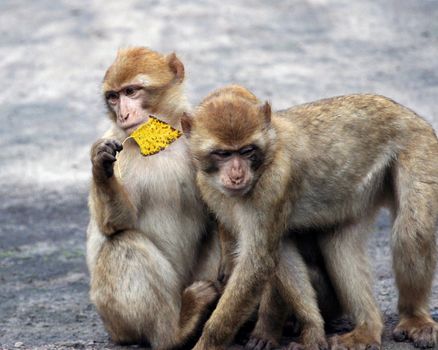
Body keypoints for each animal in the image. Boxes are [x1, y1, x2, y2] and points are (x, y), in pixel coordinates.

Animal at [86, 47, 222, 350]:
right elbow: (116, 224)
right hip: (117, 319)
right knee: (122, 243)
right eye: (113, 97)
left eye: (131, 91)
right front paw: (100, 166)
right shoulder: (120, 148)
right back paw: (174, 332)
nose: (123, 115)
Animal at [181, 85, 438, 350]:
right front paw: (313, 331)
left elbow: (258, 263)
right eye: (222, 154)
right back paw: (368, 330)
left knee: (413, 232)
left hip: (418, 145)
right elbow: (280, 253)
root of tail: (409, 114)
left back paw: (414, 318)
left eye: (247, 151)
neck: (268, 153)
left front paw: (211, 340)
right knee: (340, 245)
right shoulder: (206, 186)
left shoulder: (273, 185)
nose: (236, 175)